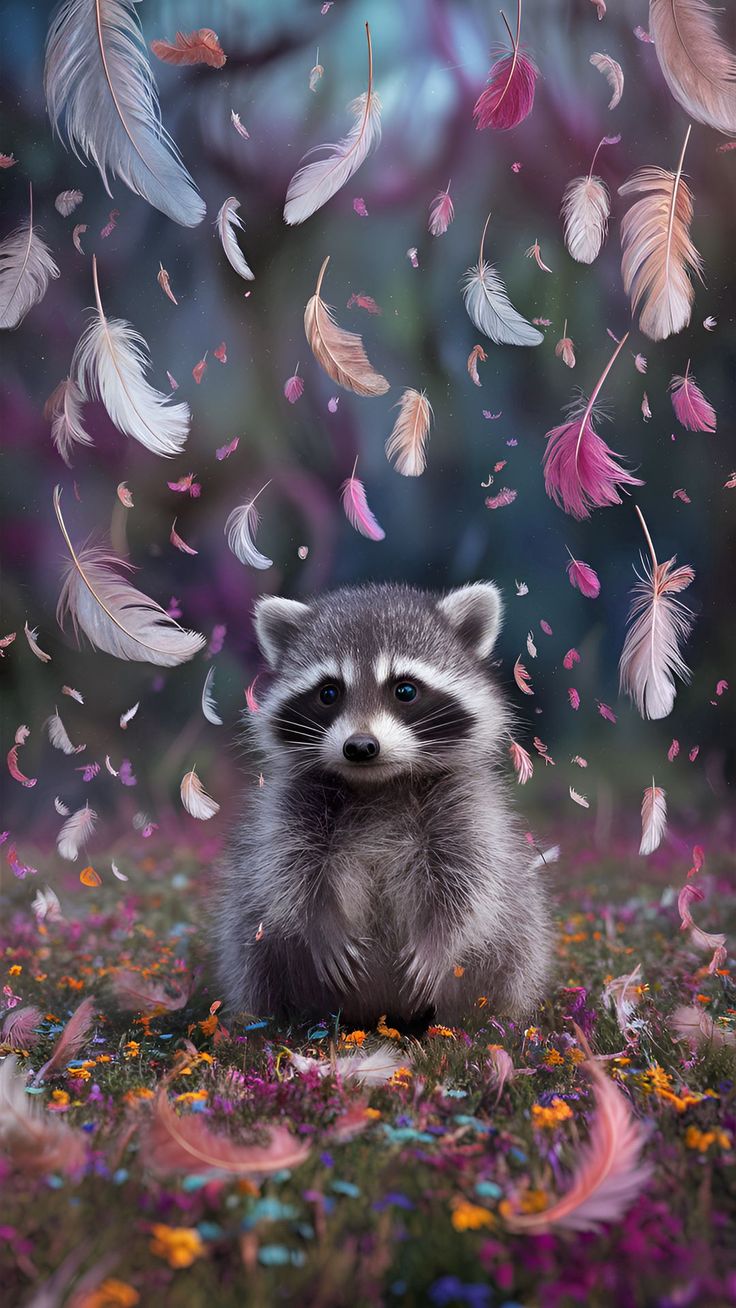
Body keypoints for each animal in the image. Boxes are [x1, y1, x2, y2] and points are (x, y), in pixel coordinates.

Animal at [215, 582, 552, 1027]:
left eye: (404, 690)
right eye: (329, 693)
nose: (360, 747)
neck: (376, 785)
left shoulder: (464, 804)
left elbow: (470, 880)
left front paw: (438, 941)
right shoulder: (293, 804)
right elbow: (290, 872)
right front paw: (321, 924)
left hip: (512, 948)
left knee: (516, 947)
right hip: (257, 946)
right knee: (250, 951)